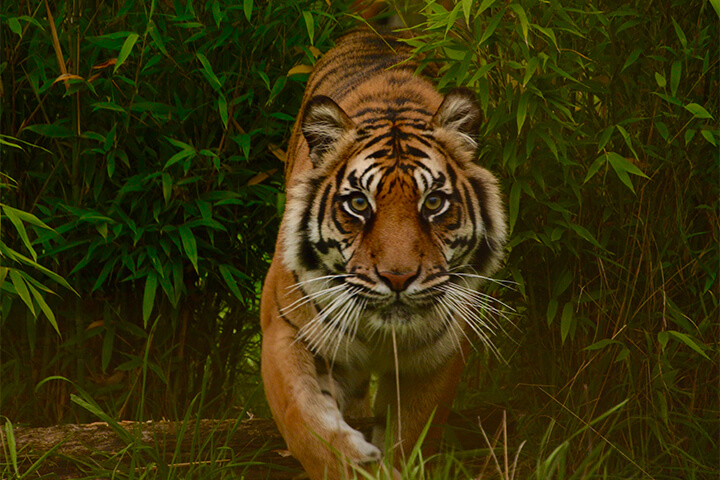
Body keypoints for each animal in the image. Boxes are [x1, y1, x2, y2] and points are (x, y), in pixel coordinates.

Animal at [260, 29, 507, 479]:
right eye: (359, 203)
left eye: (433, 203)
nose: (397, 278)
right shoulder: (286, 330)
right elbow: (303, 419)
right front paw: (351, 461)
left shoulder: (437, 355)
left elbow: (412, 435)